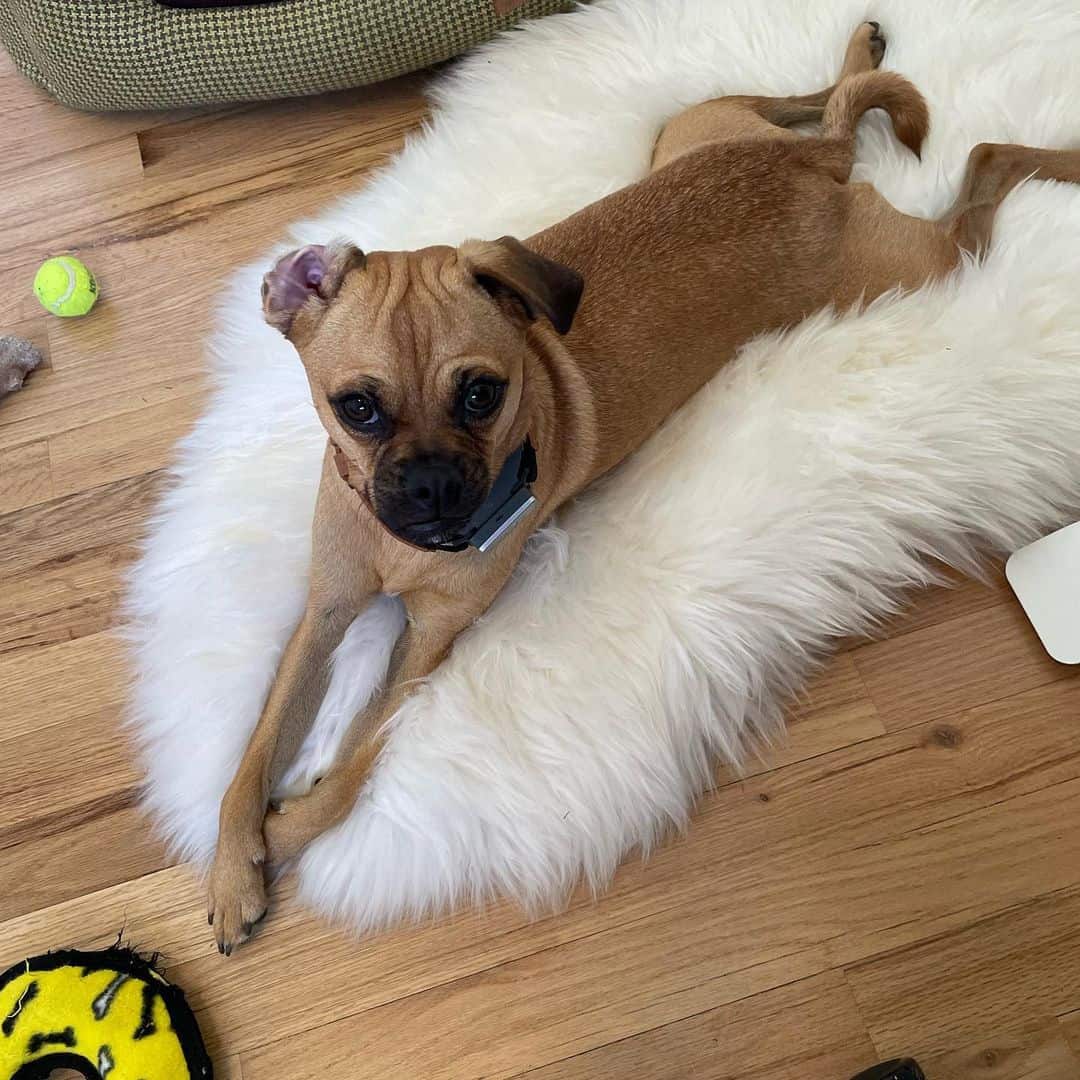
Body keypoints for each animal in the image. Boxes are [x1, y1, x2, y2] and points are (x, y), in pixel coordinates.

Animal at [206, 19, 1080, 954]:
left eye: (482, 395)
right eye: (357, 409)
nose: (435, 486)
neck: (397, 546)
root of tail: (810, 166)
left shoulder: (426, 644)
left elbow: (349, 765)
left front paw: (284, 836)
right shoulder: (325, 611)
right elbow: (253, 752)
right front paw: (232, 867)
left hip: (916, 265)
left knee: (982, 162)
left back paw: (1054, 161)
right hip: (697, 131)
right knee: (825, 101)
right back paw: (864, 51)